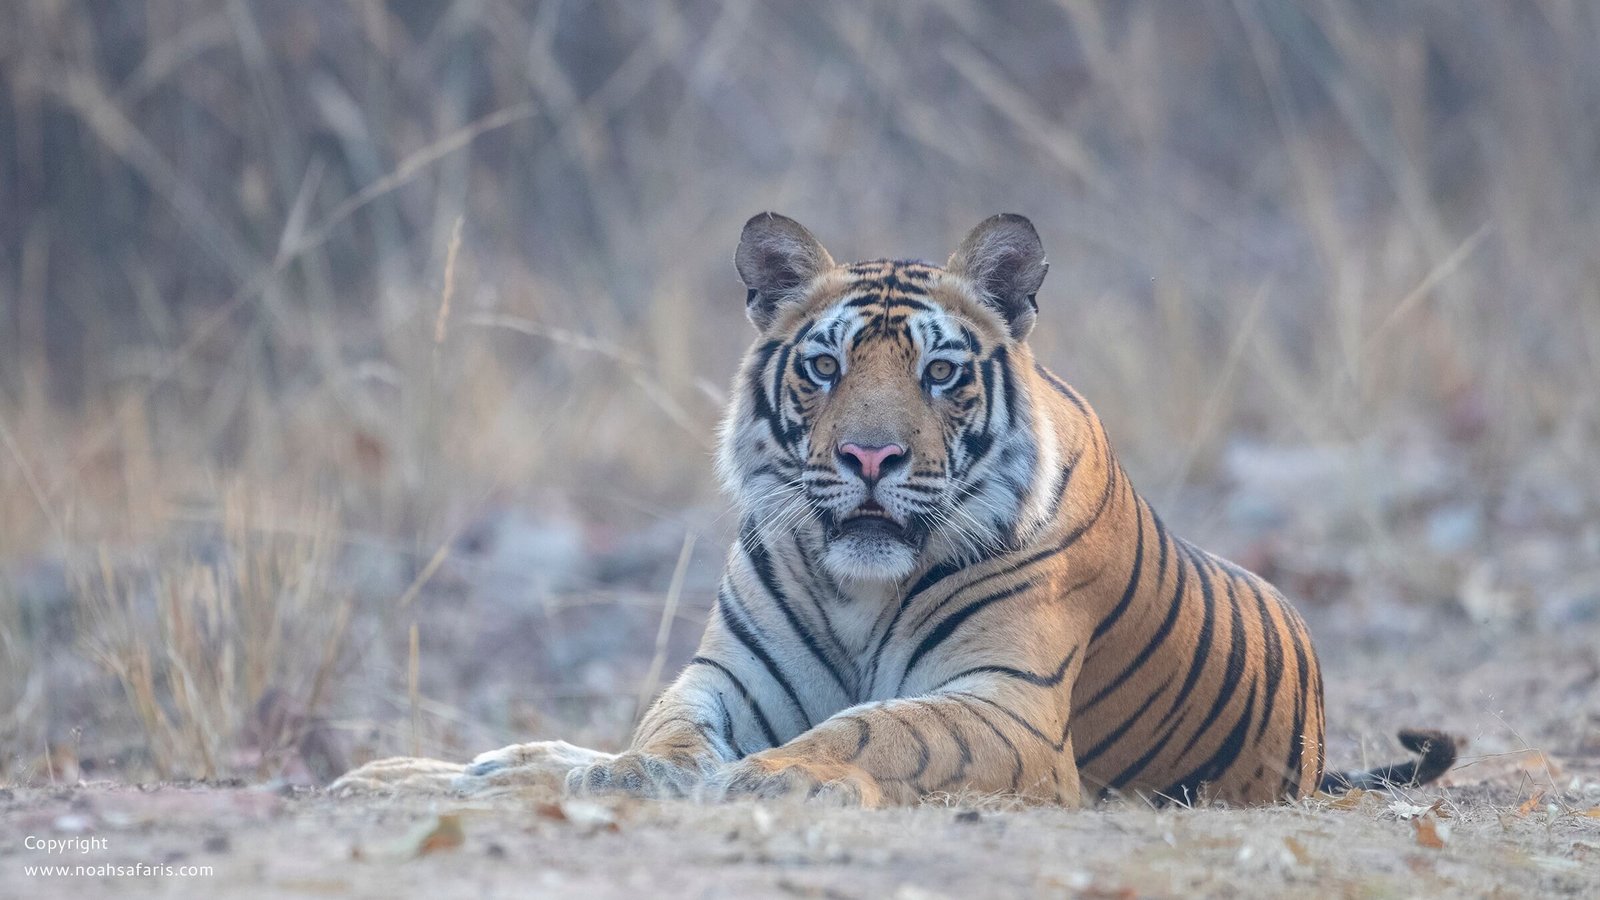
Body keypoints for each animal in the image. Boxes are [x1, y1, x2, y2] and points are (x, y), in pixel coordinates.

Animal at [333, 213, 1455, 807]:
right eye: (825, 367)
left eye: (941, 372)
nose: (870, 456)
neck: (858, 591)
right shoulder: (727, 679)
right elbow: (665, 731)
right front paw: (639, 776)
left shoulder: (1006, 707)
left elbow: (883, 730)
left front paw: (777, 775)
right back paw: (409, 773)